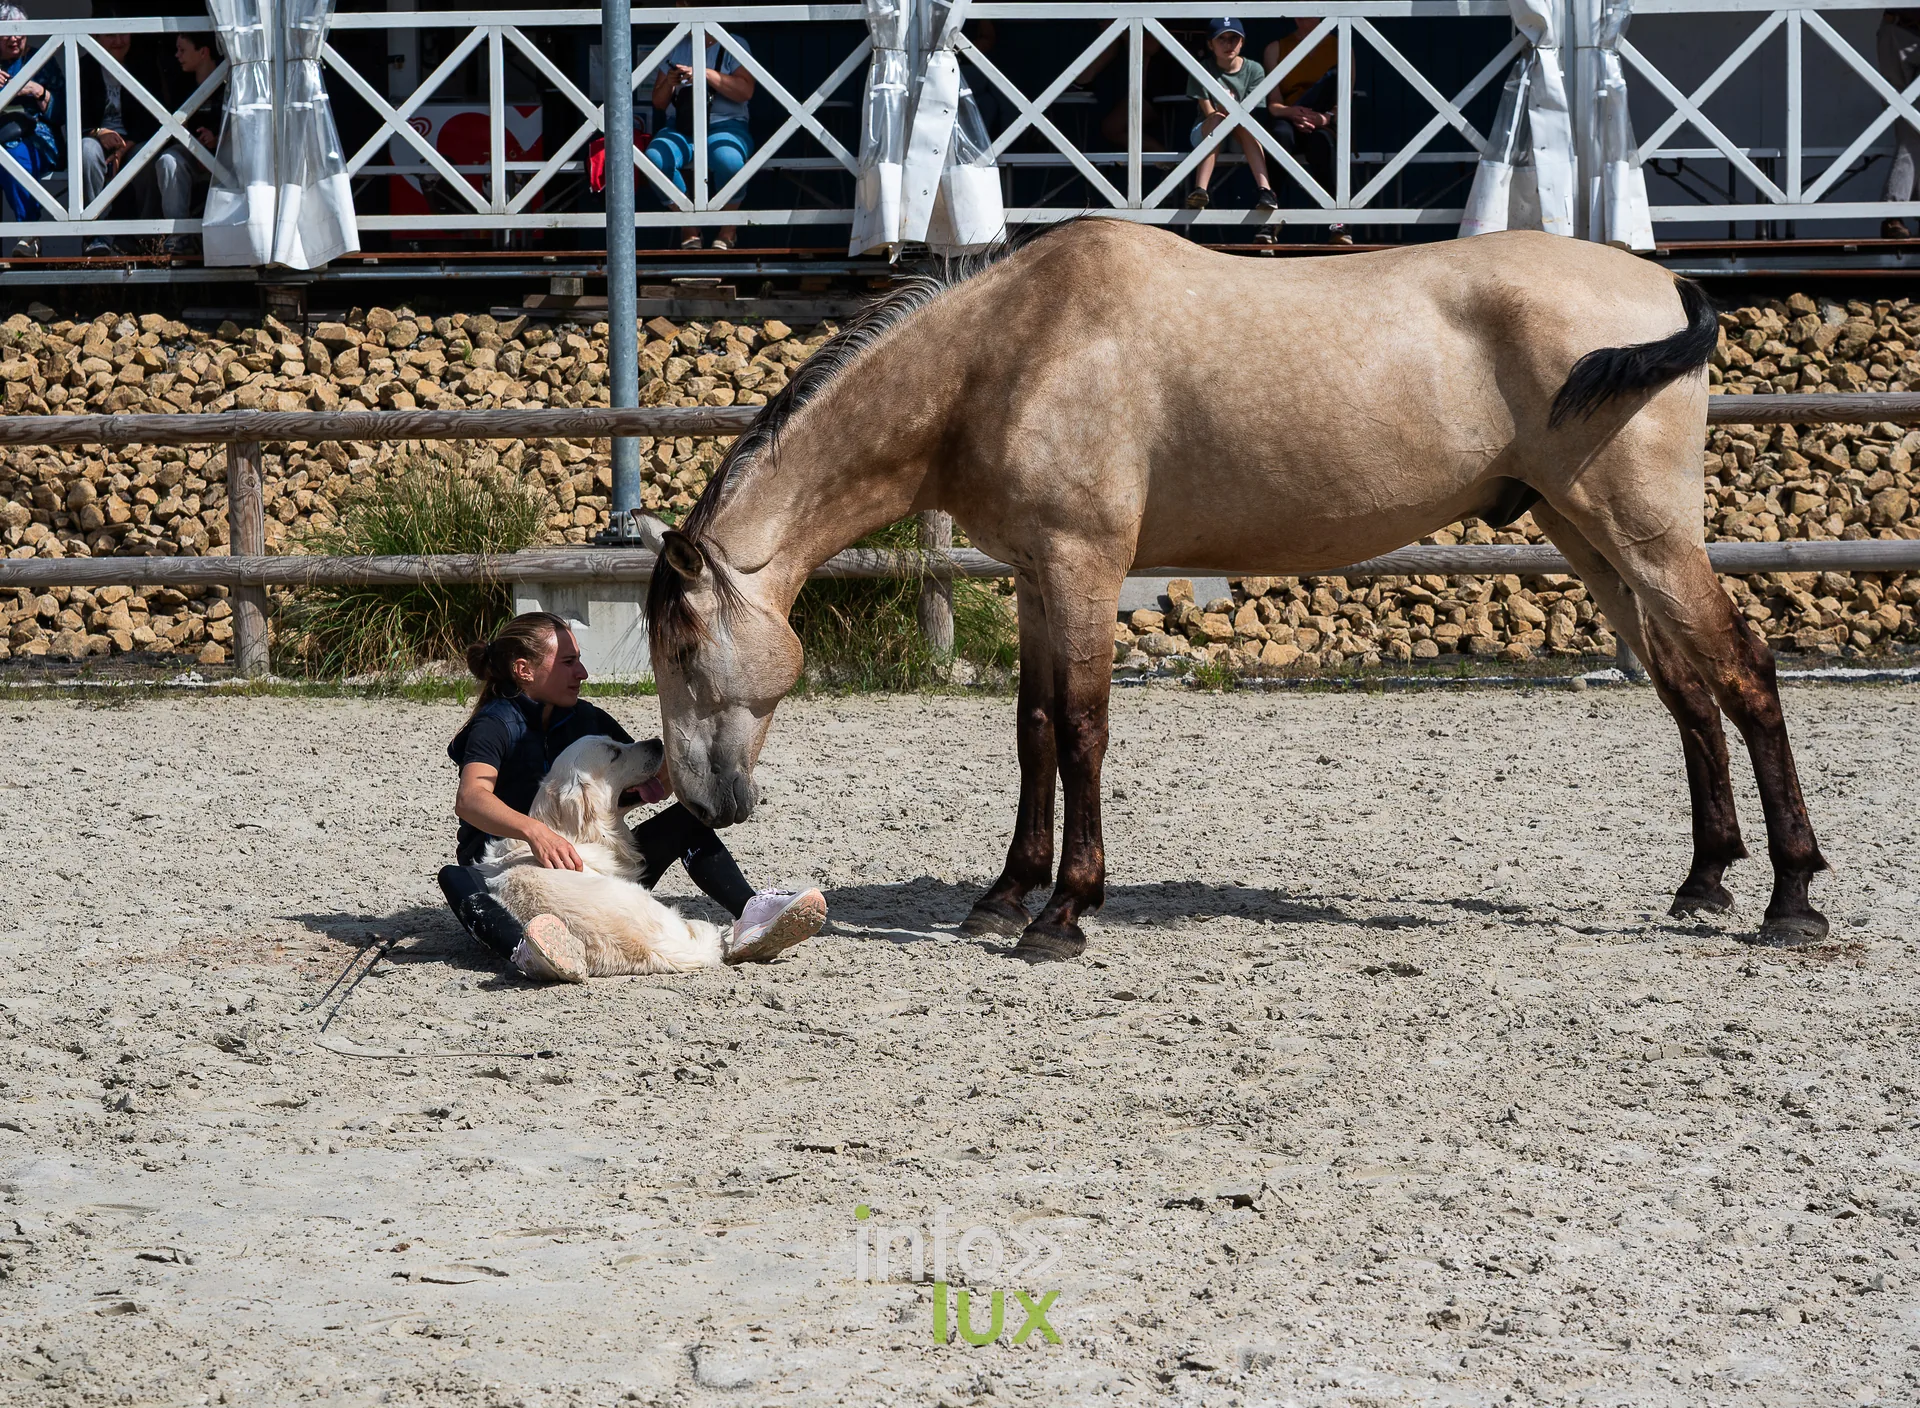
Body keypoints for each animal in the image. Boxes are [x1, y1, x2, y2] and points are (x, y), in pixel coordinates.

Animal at [644, 218, 1828, 960]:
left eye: (683, 647)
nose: (700, 802)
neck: (1006, 352)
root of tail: (1663, 282)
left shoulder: (1083, 564)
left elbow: (1081, 728)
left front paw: (1063, 915)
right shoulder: (1036, 575)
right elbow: (1033, 729)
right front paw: (1003, 896)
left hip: (1644, 532)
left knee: (1745, 672)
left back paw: (1791, 898)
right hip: (1588, 537)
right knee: (1685, 687)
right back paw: (1704, 881)